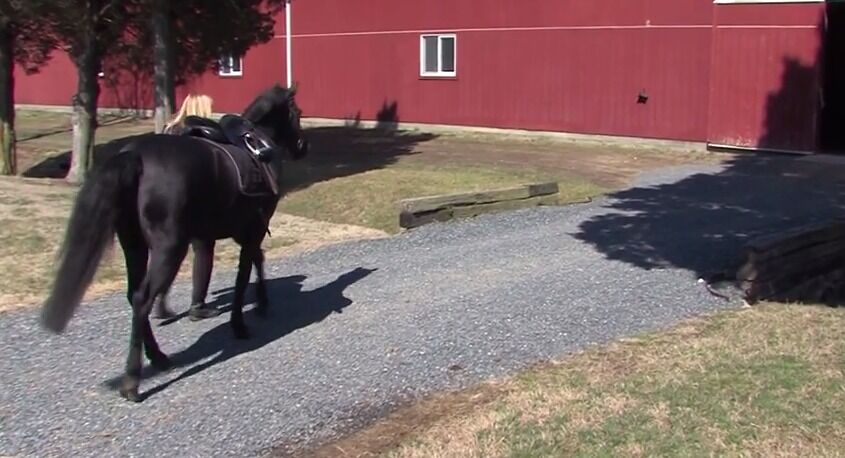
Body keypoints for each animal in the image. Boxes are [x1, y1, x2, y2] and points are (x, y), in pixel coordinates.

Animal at [39, 84, 309, 402]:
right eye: (297, 112)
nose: (302, 145)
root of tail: (135, 155)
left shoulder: (218, 235)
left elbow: (238, 263)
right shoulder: (252, 230)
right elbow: (248, 271)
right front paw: (242, 322)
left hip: (134, 245)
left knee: (134, 296)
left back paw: (157, 356)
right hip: (168, 247)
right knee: (142, 298)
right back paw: (132, 380)